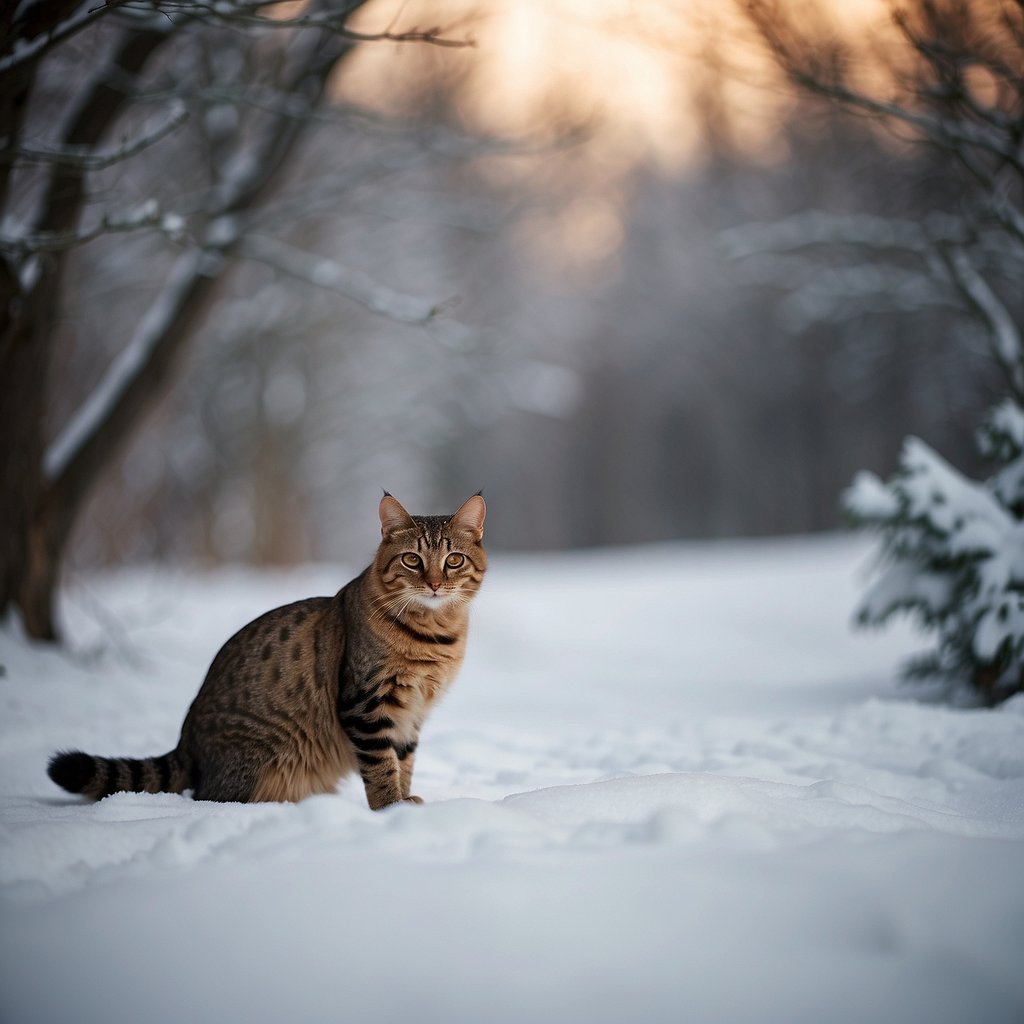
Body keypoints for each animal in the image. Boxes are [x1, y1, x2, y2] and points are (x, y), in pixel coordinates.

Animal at [49, 495, 489, 806]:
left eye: (453, 560)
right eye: (412, 560)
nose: (434, 584)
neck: (434, 635)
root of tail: (186, 740)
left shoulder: (411, 716)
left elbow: (403, 762)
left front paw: (405, 801)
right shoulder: (366, 704)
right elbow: (381, 767)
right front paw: (390, 810)